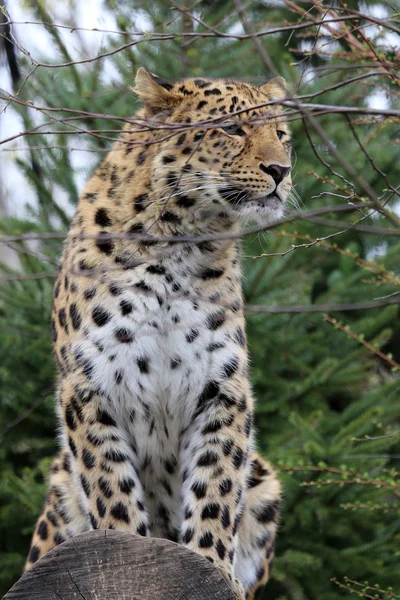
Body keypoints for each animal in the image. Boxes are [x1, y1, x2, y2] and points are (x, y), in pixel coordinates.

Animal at [26, 70, 292, 600]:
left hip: (266, 480)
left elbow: (215, 486)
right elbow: (112, 485)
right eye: (232, 129)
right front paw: (124, 557)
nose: (281, 170)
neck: (183, 243)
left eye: (282, 134)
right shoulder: (89, 386)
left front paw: (211, 564)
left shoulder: (223, 389)